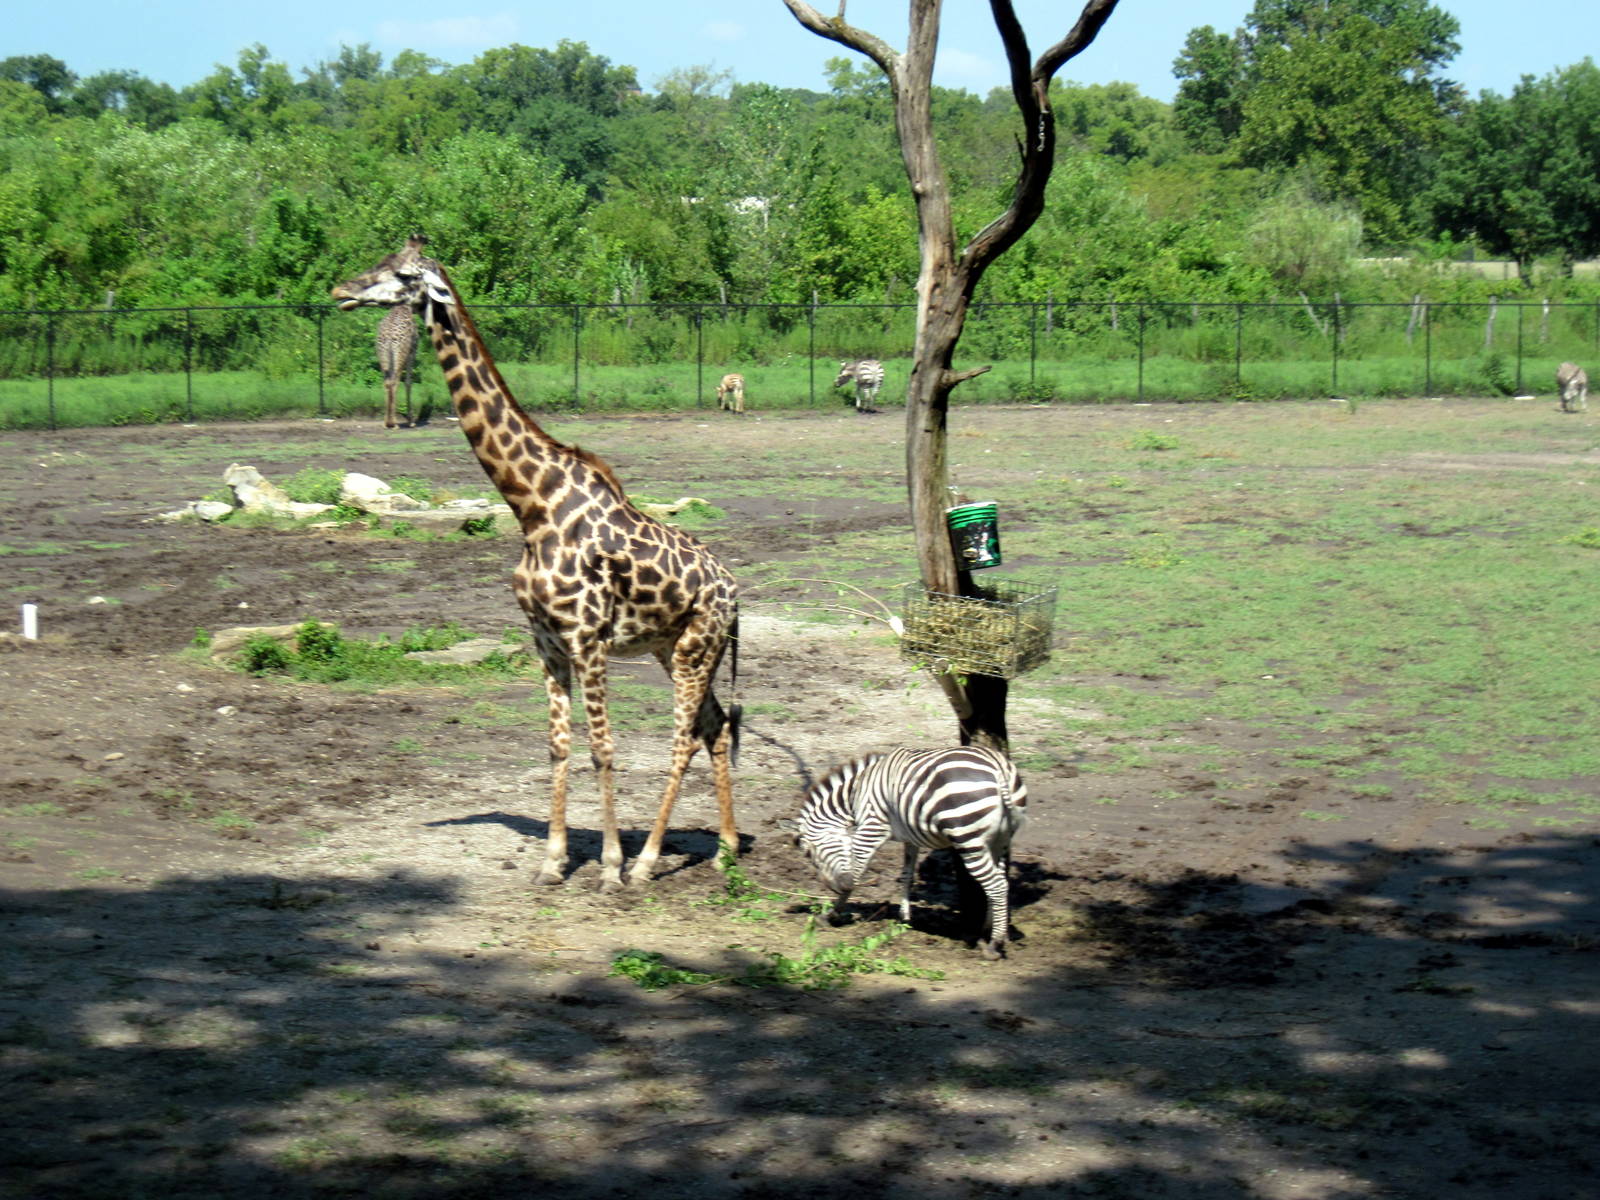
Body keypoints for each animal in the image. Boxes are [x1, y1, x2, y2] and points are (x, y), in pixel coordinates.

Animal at [333, 237, 740, 890]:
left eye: (400, 274)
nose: (340, 290)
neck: (532, 504)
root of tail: (736, 592)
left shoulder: (588, 639)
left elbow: (603, 748)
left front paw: (608, 865)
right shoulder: (546, 640)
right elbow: (557, 746)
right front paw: (552, 861)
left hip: (694, 648)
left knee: (682, 738)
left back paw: (647, 861)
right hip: (675, 647)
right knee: (715, 725)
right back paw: (725, 847)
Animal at [794, 746, 1028, 959]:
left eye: (811, 855)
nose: (834, 887)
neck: (855, 793)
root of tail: (999, 767)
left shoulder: (871, 828)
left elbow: (857, 870)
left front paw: (831, 914)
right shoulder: (910, 837)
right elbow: (906, 875)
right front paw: (904, 918)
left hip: (968, 837)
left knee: (996, 886)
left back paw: (994, 944)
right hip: (1000, 840)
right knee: (1001, 882)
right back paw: (986, 932)